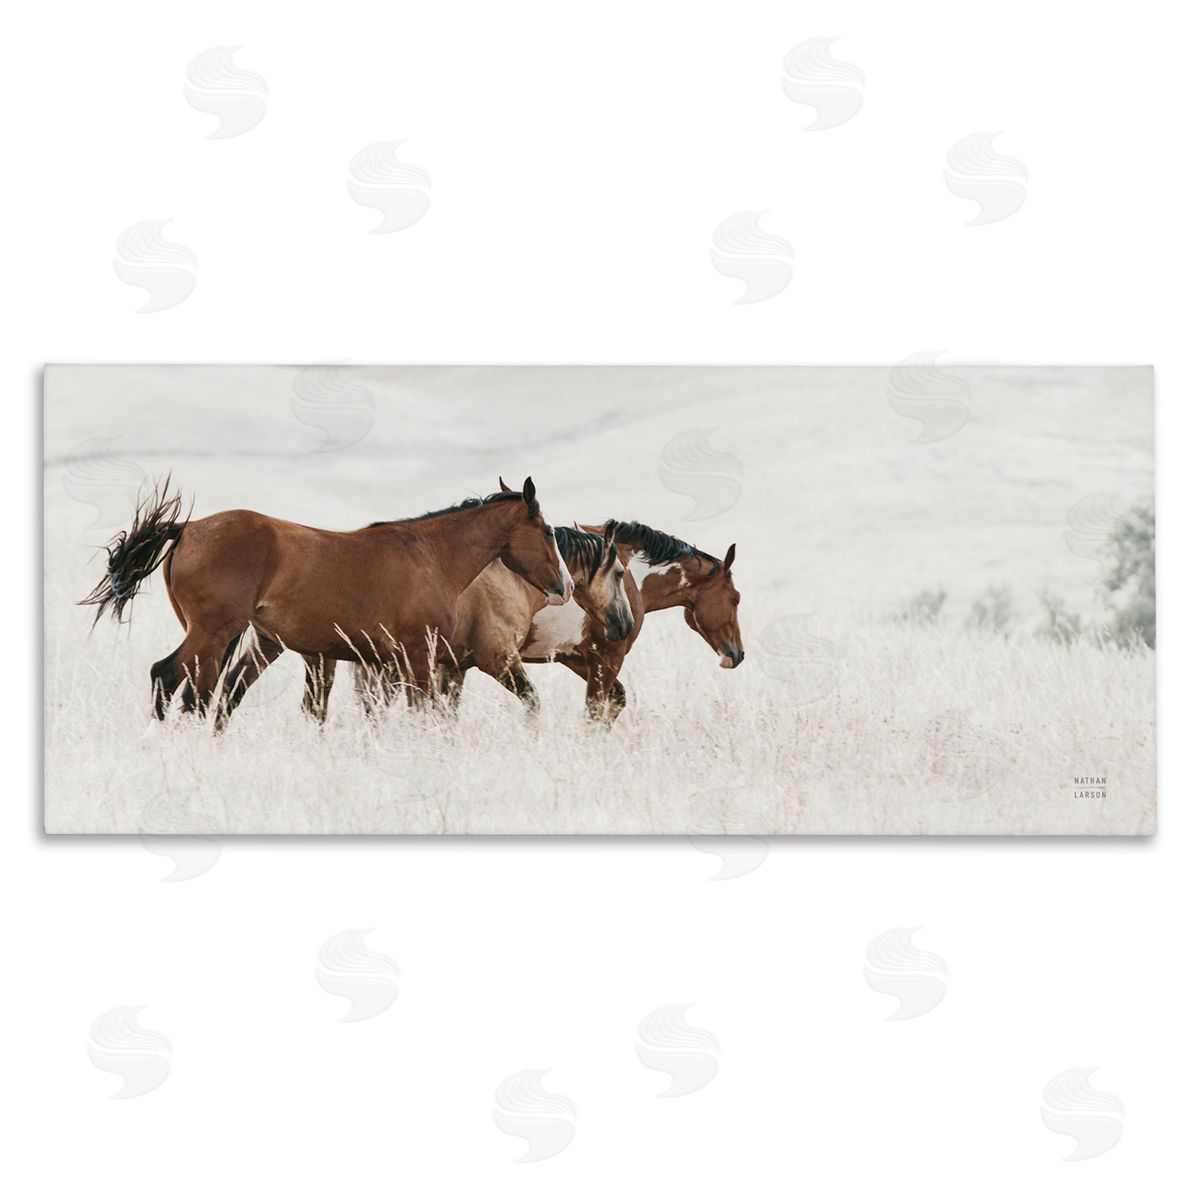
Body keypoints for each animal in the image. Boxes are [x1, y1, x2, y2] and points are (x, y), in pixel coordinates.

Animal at [80, 477, 572, 728]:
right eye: (548, 532)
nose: (564, 586)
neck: (430, 555)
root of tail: (187, 527)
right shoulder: (416, 654)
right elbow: (423, 712)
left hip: (233, 639)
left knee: (203, 695)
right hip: (214, 632)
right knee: (168, 678)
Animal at [301, 520, 635, 718]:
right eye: (620, 573)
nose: (625, 625)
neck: (512, 579)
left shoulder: (453, 665)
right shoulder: (498, 660)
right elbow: (532, 703)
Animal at [525, 520, 743, 721]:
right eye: (736, 598)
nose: (738, 654)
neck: (628, 576)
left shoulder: (574, 658)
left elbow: (617, 699)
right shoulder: (608, 657)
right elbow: (594, 713)